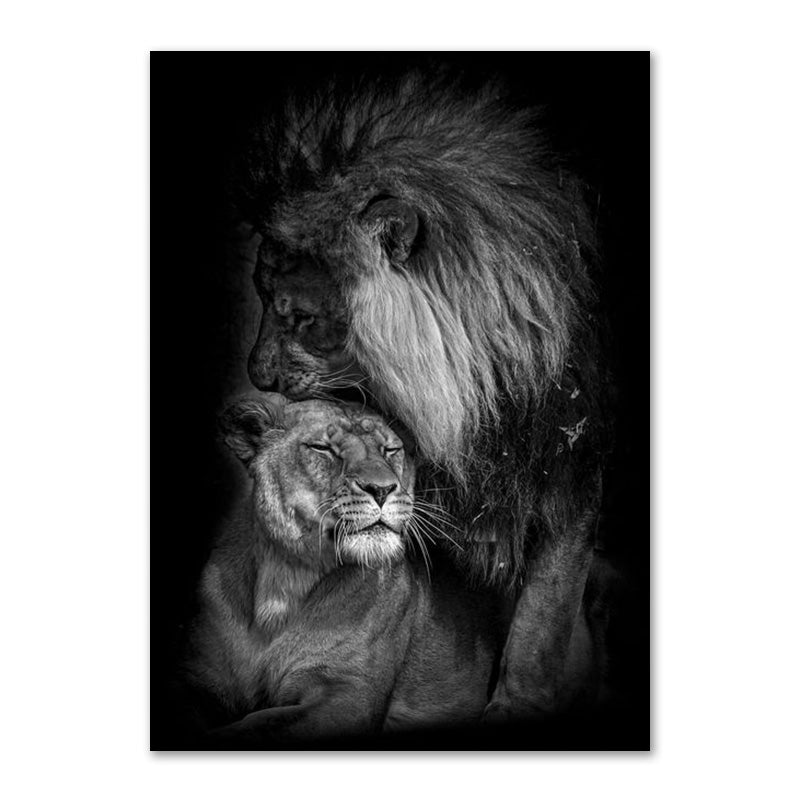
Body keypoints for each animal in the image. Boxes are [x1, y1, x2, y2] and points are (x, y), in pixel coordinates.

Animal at [182, 393, 512, 745]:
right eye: (322, 449)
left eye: (390, 450)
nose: (382, 489)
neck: (283, 580)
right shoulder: (200, 679)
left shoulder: (348, 696)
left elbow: (259, 724)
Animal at [235, 70, 614, 721]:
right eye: (259, 295)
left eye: (301, 316)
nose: (256, 377)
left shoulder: (570, 470)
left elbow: (543, 615)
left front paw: (515, 705)